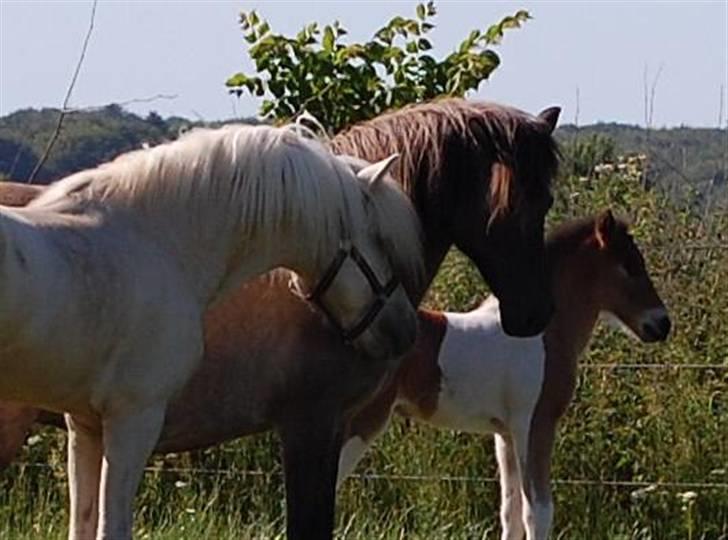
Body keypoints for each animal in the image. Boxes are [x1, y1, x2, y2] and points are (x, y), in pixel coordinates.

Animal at [336, 211, 672, 540]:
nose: (662, 323)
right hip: (361, 423)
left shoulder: (505, 434)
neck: (543, 333)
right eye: (629, 267)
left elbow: (511, 511)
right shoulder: (535, 424)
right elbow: (538, 511)